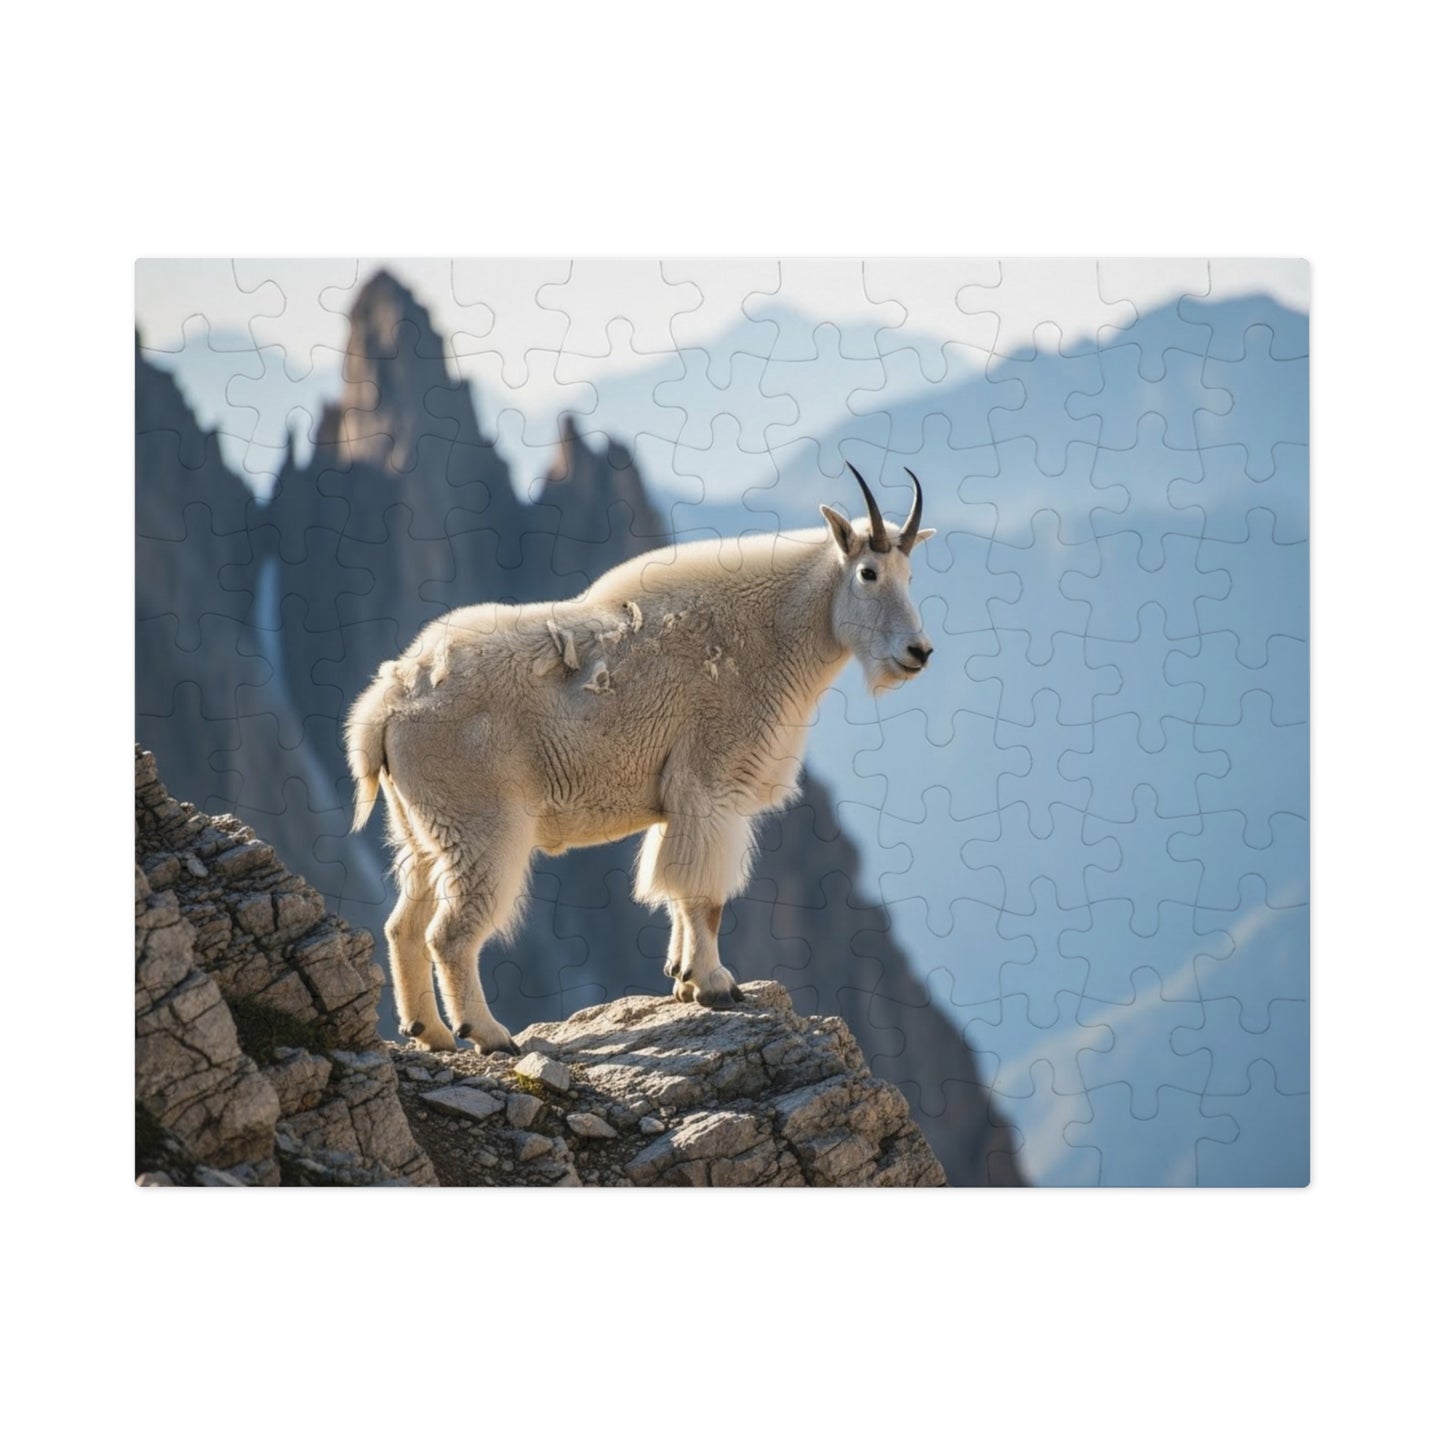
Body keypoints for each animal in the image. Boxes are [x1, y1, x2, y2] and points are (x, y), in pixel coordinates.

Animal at [346, 466, 936, 1052]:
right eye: (867, 573)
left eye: (909, 575)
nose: (919, 652)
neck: (771, 634)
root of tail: (383, 709)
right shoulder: (711, 782)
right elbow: (704, 895)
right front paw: (715, 983)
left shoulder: (680, 798)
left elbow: (675, 889)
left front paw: (682, 977)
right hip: (479, 825)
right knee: (449, 933)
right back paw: (488, 1034)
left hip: (422, 829)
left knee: (403, 924)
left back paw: (429, 1032)